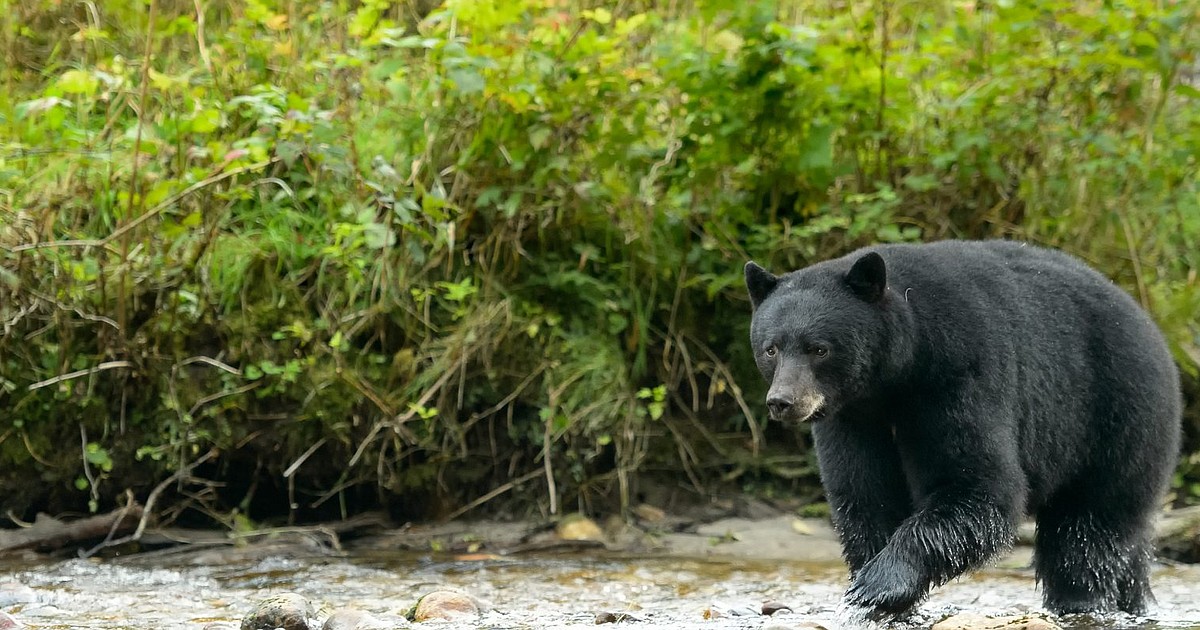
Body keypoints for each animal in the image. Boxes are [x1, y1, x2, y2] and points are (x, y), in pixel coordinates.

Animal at [739, 240, 1180, 614]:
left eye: (819, 348)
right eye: (771, 348)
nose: (782, 402)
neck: (895, 376)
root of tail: (1151, 326)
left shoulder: (960, 375)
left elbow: (978, 485)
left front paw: (878, 585)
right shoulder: (851, 417)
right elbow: (865, 492)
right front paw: (878, 588)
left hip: (1114, 415)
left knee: (1087, 528)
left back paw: (1080, 599)